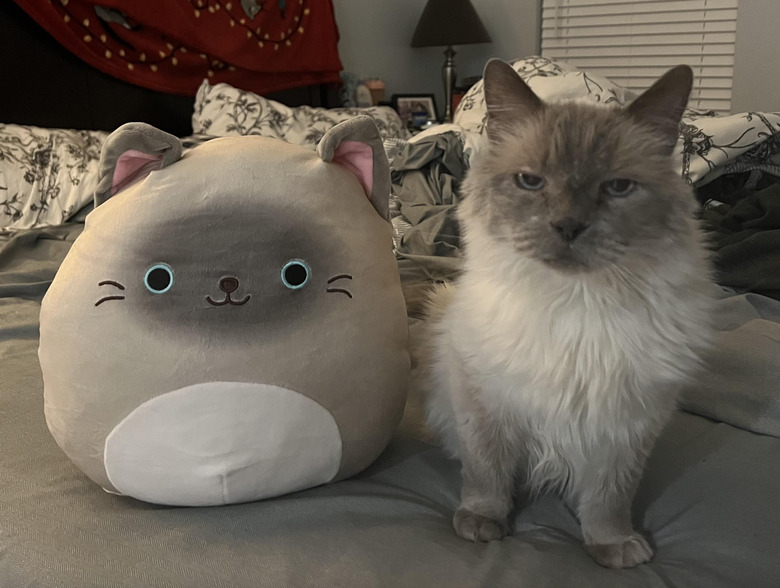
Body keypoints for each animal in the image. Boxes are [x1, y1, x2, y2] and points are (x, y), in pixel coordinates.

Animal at [420, 60, 712, 568]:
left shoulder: (625, 425)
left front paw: (613, 546)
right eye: (530, 182)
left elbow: (609, 499)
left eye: (618, 187)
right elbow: (485, 472)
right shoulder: (485, 398)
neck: (577, 303)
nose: (568, 227)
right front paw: (482, 524)